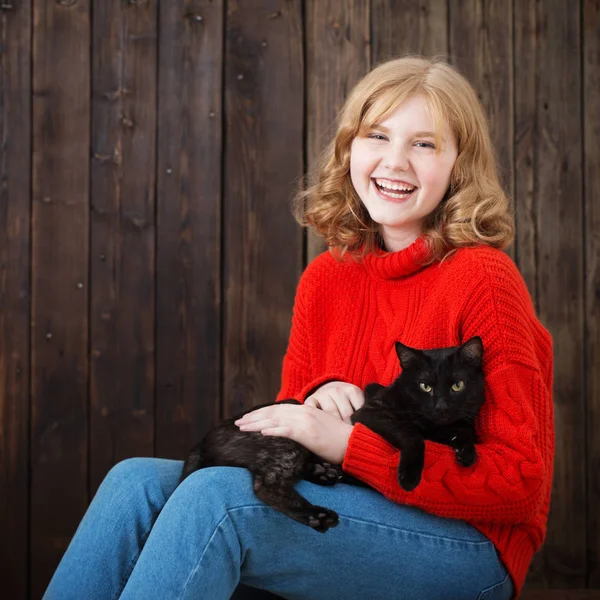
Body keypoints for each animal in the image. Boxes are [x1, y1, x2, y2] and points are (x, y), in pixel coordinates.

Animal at [178, 336, 482, 532]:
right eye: (425, 386)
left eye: (457, 385)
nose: (441, 407)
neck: (435, 426)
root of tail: (202, 442)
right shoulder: (372, 413)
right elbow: (412, 436)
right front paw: (409, 477)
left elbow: (465, 428)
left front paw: (466, 452)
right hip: (286, 440)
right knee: (267, 485)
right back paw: (318, 515)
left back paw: (325, 473)